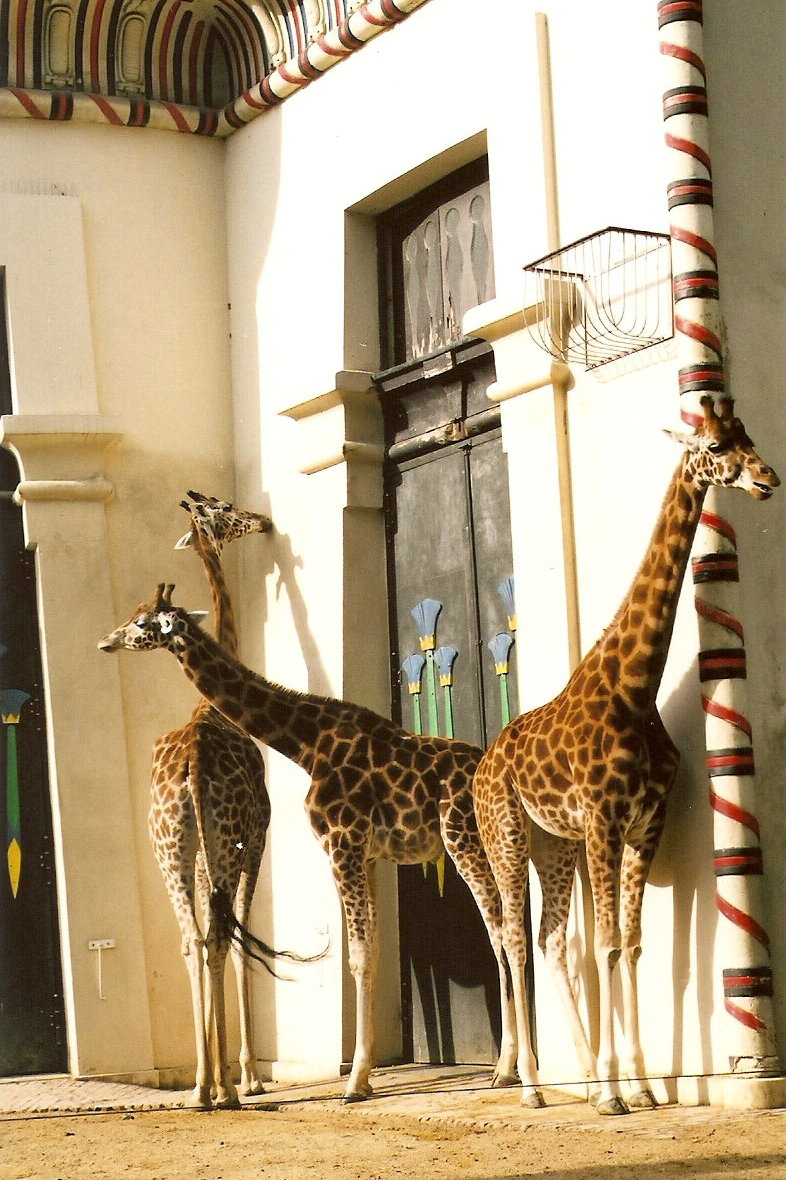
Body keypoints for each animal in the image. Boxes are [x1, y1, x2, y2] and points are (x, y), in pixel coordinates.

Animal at [98, 586, 518, 1102]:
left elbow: (356, 956)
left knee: (500, 931)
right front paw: (366, 1074)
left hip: (463, 840)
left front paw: (354, 1083)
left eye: (141, 624)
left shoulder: (342, 842)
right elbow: (370, 952)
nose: (106, 641)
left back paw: (508, 1069)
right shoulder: (369, 854)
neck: (306, 744)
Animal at [472, 397, 779, 1115]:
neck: (633, 686)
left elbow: (633, 947)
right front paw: (616, 1092)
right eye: (716, 445)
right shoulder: (605, 822)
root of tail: (479, 766)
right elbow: (609, 944)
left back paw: (582, 1074)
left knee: (550, 938)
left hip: (553, 845)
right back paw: (532, 1086)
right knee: (514, 940)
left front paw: (637, 1085)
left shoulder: (646, 822)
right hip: (505, 838)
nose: (767, 480)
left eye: (748, 434)